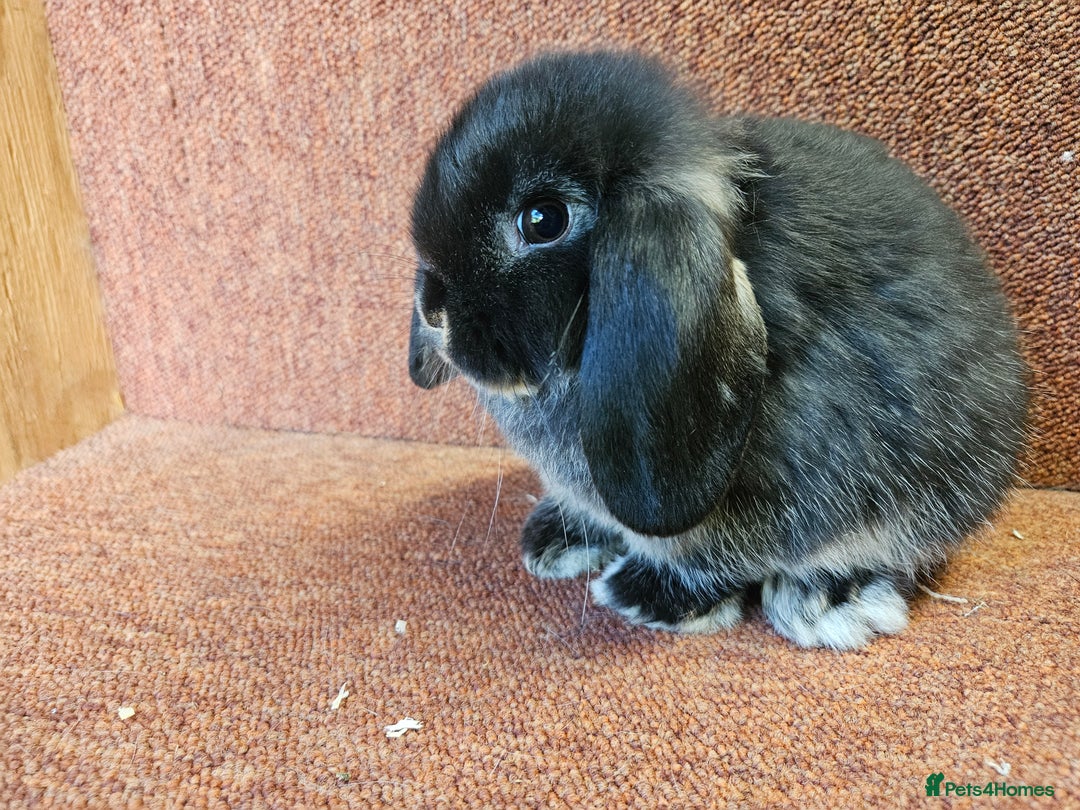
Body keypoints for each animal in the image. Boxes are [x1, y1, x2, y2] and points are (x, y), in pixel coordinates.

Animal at [407, 50, 1029, 648]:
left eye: (543, 220)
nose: (433, 311)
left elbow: (716, 559)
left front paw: (644, 596)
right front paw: (554, 541)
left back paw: (827, 601)